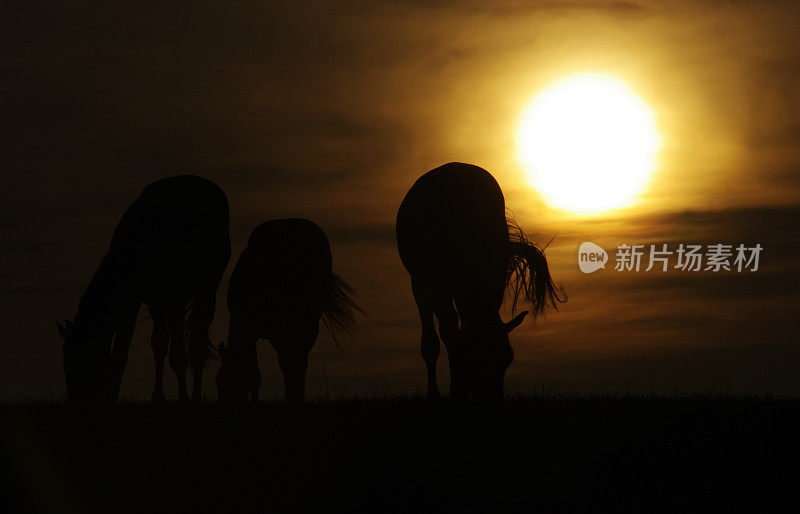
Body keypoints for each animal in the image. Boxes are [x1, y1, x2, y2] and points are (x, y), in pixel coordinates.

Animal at [55, 174, 231, 402]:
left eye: (86, 361)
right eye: (66, 366)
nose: (77, 400)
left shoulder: (172, 299)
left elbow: (177, 354)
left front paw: (183, 398)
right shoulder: (144, 301)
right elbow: (141, 349)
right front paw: (154, 397)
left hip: (206, 290)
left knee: (196, 344)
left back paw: (195, 396)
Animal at [394, 162, 564, 398]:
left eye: (508, 357)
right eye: (477, 361)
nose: (490, 397)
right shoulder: (428, 285)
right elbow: (438, 339)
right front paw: (445, 392)